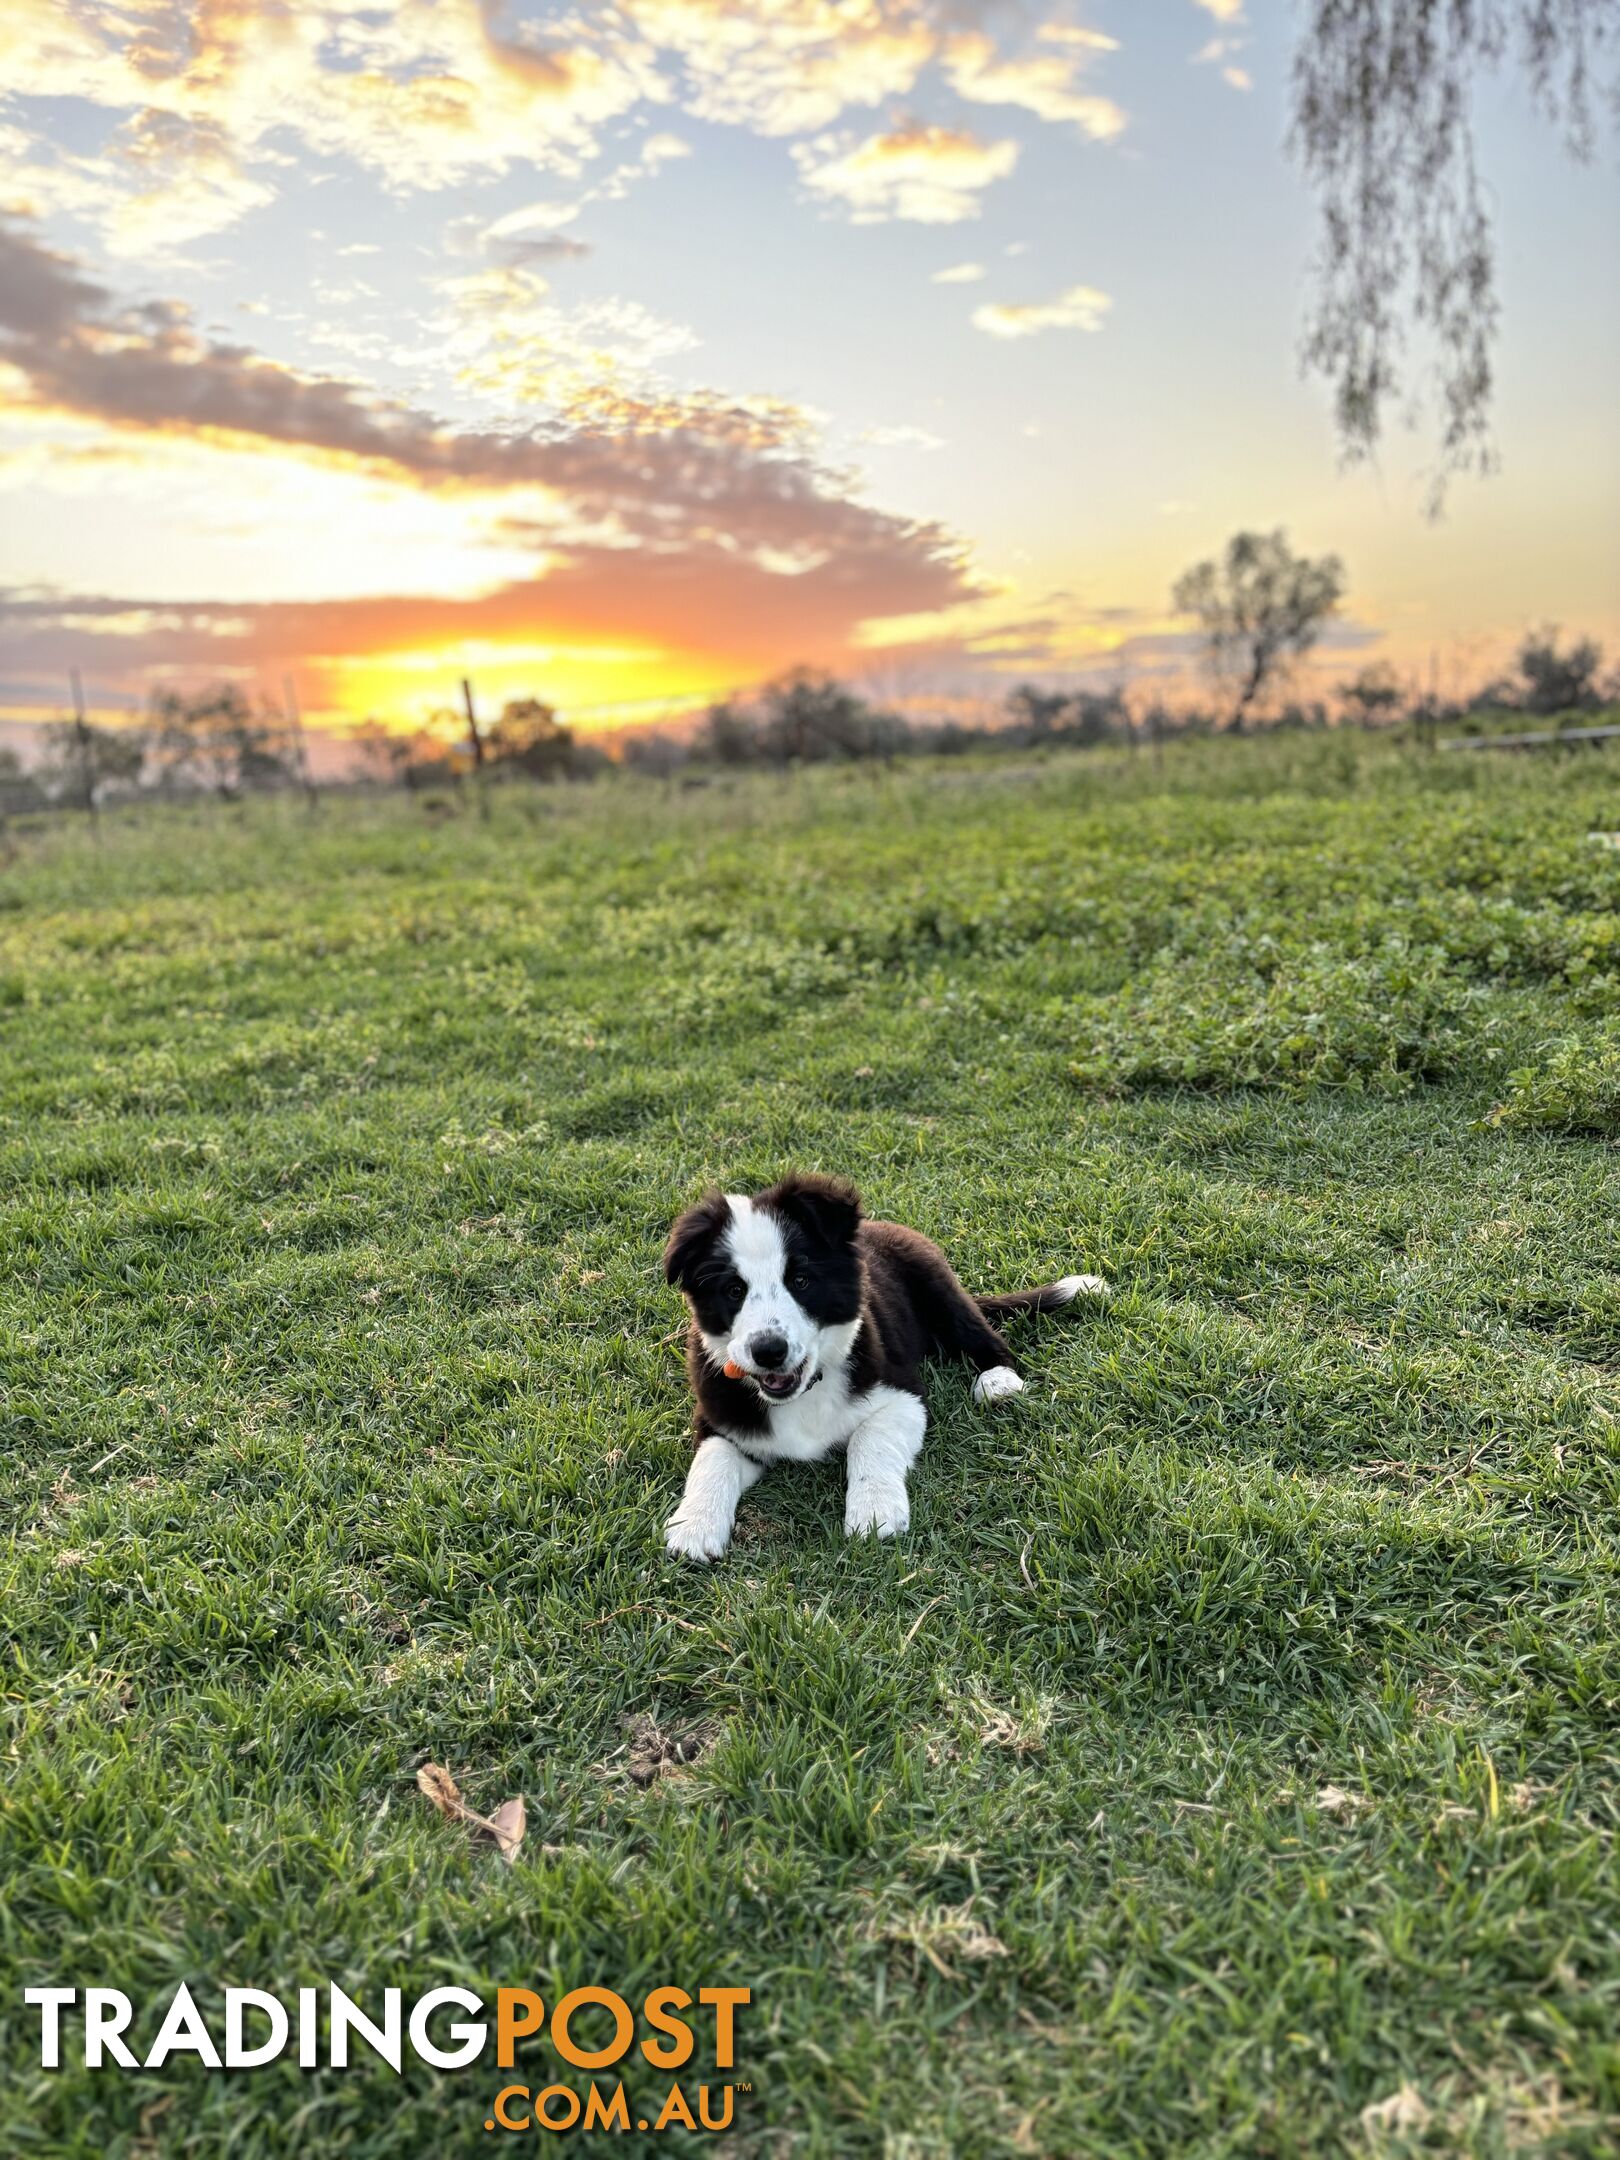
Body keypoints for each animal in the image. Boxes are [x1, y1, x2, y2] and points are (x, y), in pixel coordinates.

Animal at [665, 1175, 1114, 1563]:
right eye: (734, 1290)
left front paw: (873, 1512)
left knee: (981, 1335)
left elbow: (869, 1439)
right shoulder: (719, 1416)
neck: (807, 1389)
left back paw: (998, 1380)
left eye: (801, 1280)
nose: (768, 1351)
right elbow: (712, 1461)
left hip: (936, 1285)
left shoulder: (903, 1392)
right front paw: (694, 1527)